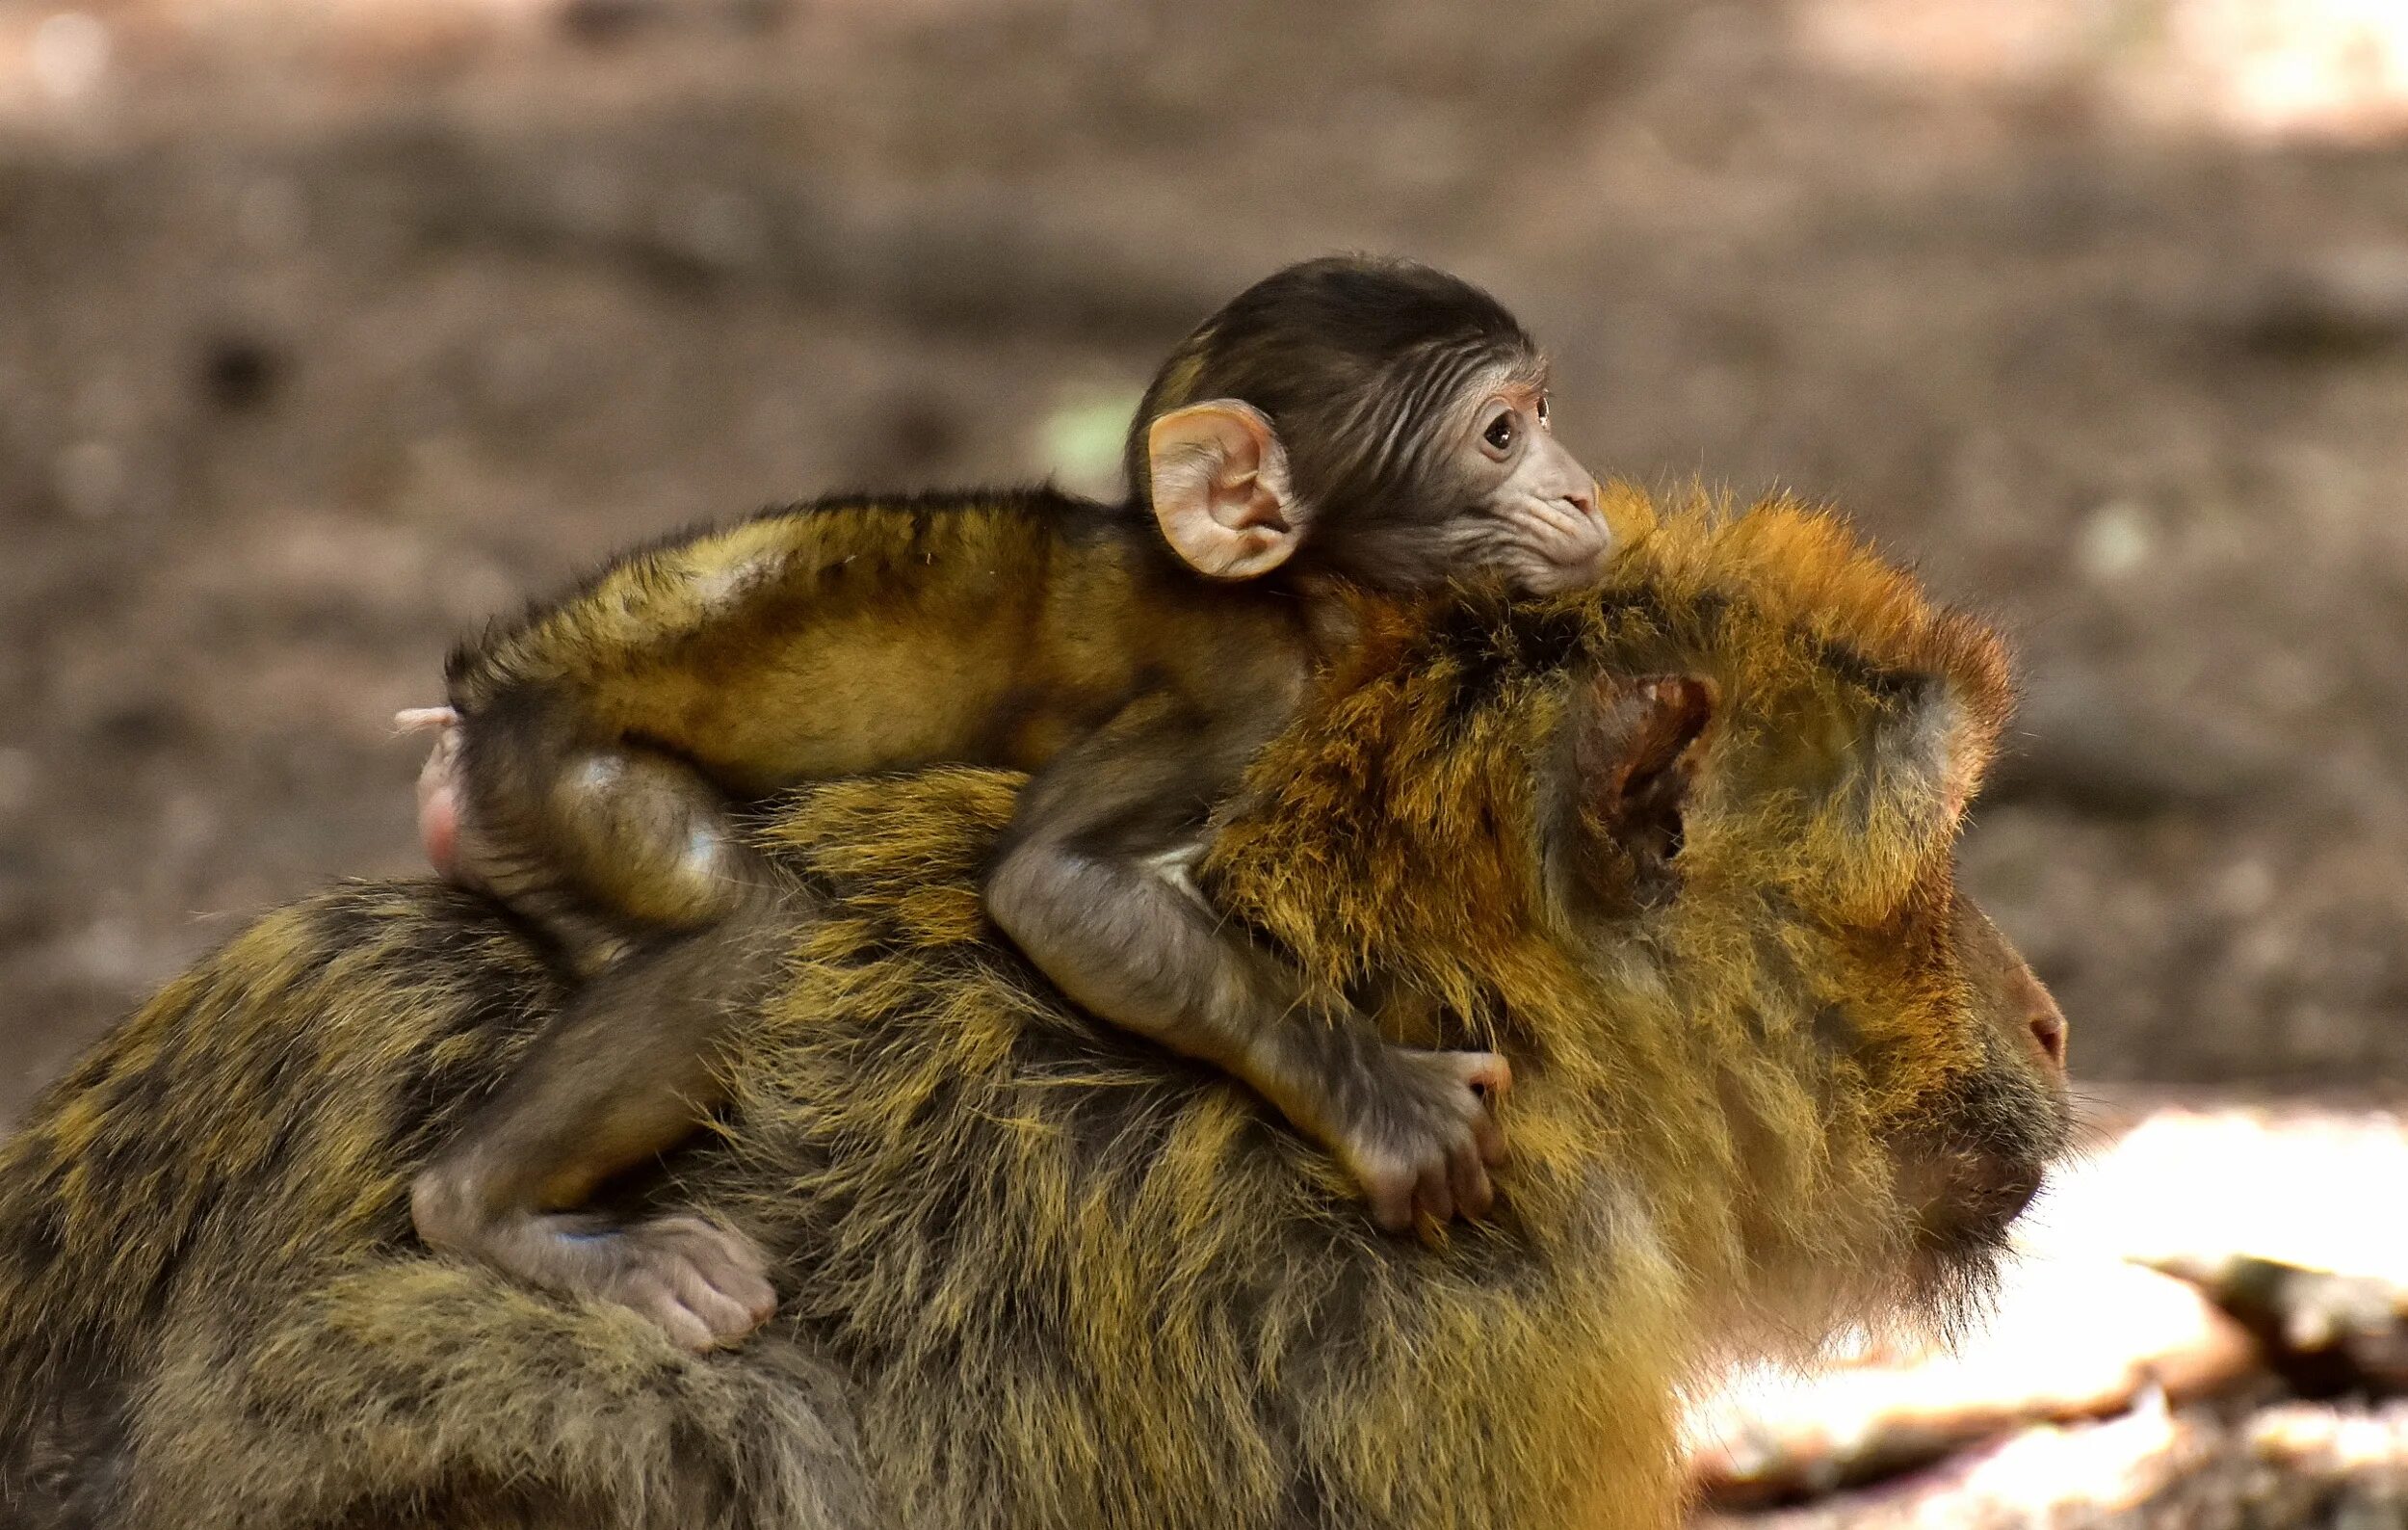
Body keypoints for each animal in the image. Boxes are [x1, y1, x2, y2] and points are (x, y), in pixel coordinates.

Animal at [399, 256, 1629, 1350]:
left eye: (1546, 410)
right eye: (1500, 435)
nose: (1582, 488)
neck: (1293, 593)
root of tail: (478, 709)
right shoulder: (1244, 691)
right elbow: (1050, 881)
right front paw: (1386, 1102)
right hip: (556, 776)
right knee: (748, 929)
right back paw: (486, 1212)